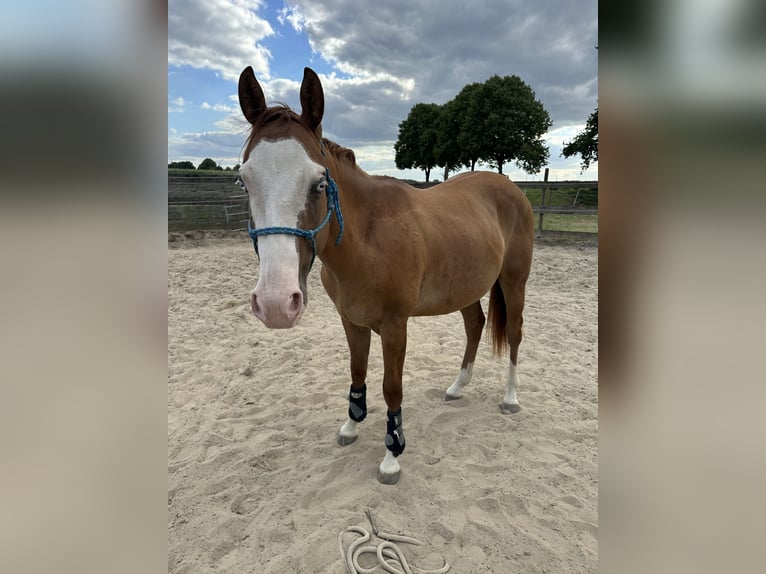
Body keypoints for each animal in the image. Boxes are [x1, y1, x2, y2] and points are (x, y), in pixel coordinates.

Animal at [237, 66, 534, 484]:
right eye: (243, 181)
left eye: (319, 183)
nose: (277, 303)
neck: (367, 240)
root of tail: (510, 187)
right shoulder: (352, 322)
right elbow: (357, 373)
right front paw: (351, 426)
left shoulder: (395, 326)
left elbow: (391, 387)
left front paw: (392, 455)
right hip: (466, 287)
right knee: (475, 325)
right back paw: (457, 387)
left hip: (513, 281)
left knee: (515, 333)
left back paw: (510, 398)